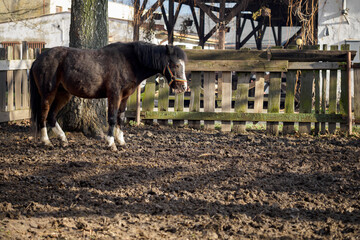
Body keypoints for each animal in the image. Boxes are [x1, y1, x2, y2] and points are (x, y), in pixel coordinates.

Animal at [30, 41, 188, 150]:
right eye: (176, 65)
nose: (183, 87)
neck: (129, 61)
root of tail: (38, 59)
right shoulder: (114, 95)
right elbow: (112, 118)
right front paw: (111, 143)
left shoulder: (124, 96)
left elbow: (121, 117)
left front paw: (121, 141)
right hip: (48, 93)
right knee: (43, 114)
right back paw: (46, 141)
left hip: (64, 94)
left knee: (51, 116)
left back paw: (63, 139)